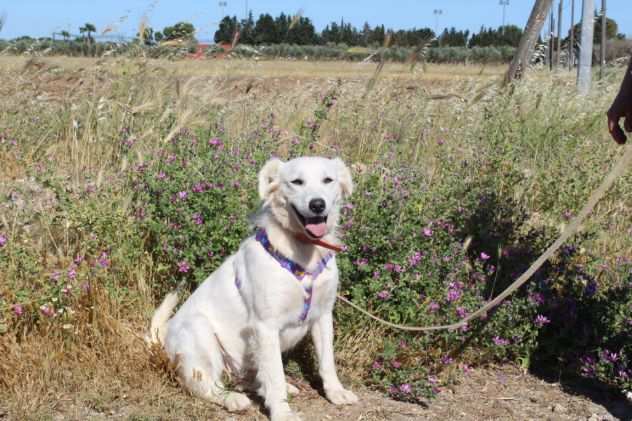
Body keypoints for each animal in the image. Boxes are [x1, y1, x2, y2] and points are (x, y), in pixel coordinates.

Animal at [145, 156, 358, 418]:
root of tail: (163, 336)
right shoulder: (265, 326)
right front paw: (282, 413)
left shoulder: (323, 315)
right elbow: (274, 376)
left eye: (328, 180)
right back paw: (232, 399)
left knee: (254, 378)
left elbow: (327, 362)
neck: (304, 254)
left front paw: (336, 392)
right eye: (296, 182)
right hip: (200, 332)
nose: (317, 204)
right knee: (206, 386)